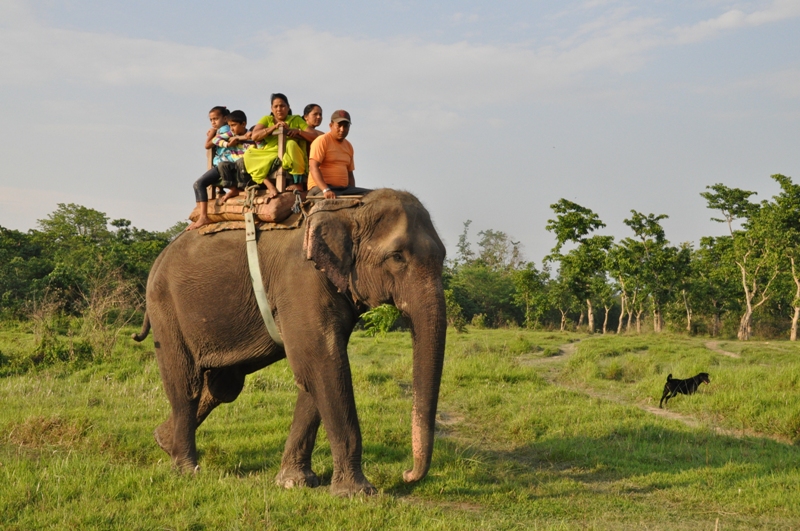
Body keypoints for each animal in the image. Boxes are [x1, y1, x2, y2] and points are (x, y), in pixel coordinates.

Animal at [132, 189, 446, 496]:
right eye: (397, 257)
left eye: (443, 257)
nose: (407, 475)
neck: (352, 206)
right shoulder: (300, 278)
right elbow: (322, 362)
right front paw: (358, 493)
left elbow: (316, 369)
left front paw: (295, 482)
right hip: (166, 309)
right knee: (187, 386)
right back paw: (186, 469)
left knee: (224, 385)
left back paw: (163, 440)